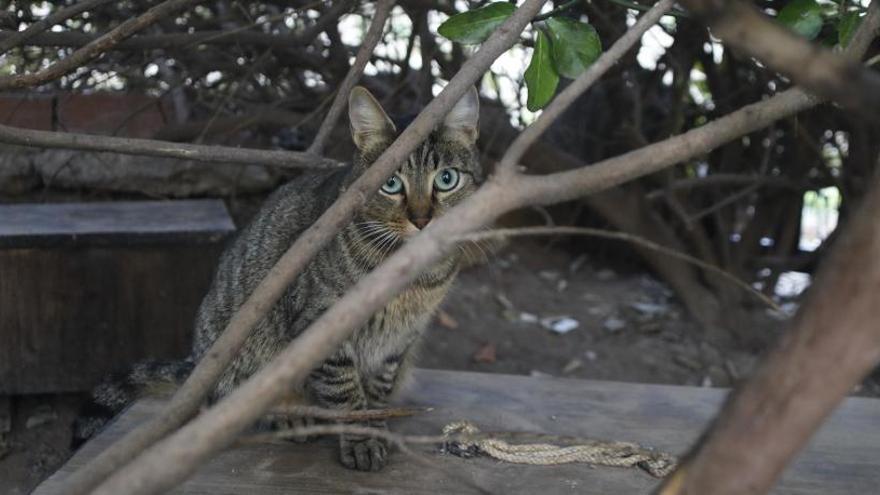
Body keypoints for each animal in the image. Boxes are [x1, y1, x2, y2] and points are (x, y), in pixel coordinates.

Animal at [75, 86, 482, 472]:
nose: (422, 219)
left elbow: (376, 392)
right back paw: (293, 418)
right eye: (392, 184)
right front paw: (362, 440)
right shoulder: (322, 327)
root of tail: (197, 362)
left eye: (446, 179)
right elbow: (347, 394)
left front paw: (377, 427)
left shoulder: (399, 340)